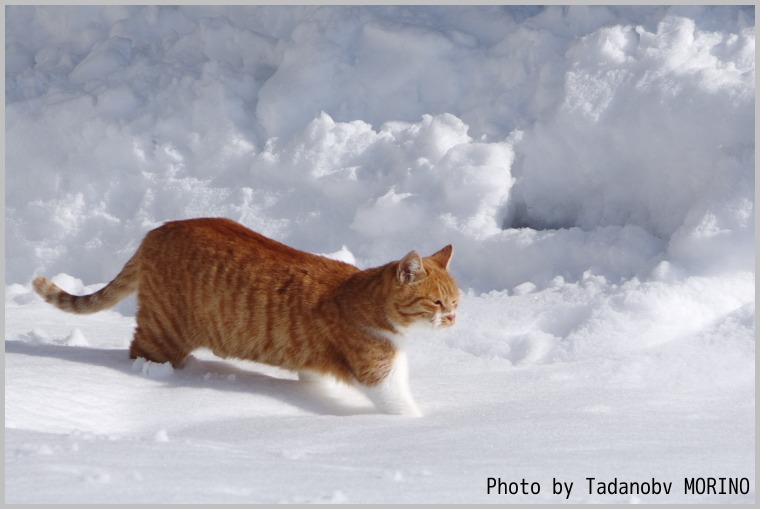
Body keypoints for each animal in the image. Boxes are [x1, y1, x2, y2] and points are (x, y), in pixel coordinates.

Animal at [32, 216, 460, 414]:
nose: (455, 319)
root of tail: (157, 231)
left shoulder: (316, 362)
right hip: (164, 332)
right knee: (140, 351)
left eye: (456, 303)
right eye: (438, 303)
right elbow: (402, 406)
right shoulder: (378, 373)